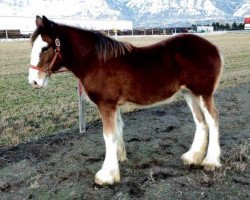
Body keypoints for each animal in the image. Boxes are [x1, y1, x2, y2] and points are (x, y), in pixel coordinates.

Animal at [28, 16, 223, 186]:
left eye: (45, 47)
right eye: (32, 45)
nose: (34, 81)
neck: (95, 61)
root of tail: (213, 48)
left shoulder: (106, 105)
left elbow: (108, 135)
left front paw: (106, 175)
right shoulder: (114, 106)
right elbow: (117, 131)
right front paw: (118, 159)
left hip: (202, 93)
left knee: (212, 119)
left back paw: (211, 161)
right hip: (189, 93)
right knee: (200, 121)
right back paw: (193, 157)